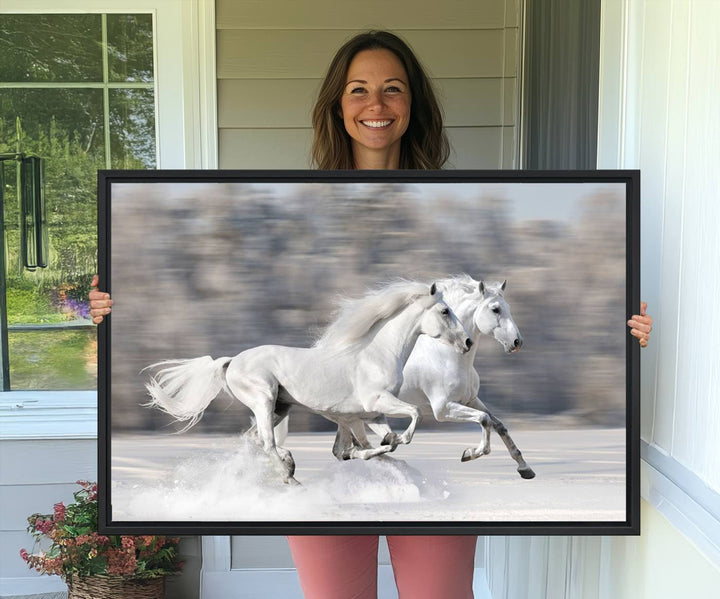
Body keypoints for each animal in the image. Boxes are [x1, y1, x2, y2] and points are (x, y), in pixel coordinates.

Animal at [146, 282, 472, 482]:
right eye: (445, 311)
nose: (468, 342)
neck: (377, 353)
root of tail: (231, 362)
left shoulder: (372, 414)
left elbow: (375, 444)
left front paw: (384, 447)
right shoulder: (377, 404)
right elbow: (412, 417)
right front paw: (396, 441)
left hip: (280, 407)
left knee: (255, 440)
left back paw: (289, 465)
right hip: (264, 400)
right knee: (266, 442)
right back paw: (290, 477)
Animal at [332, 278, 536, 482]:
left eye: (508, 307)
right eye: (495, 309)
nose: (517, 342)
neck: (447, 356)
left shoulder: (470, 400)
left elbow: (499, 425)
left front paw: (525, 468)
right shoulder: (443, 409)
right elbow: (484, 419)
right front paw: (469, 453)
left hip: (349, 417)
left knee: (342, 450)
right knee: (355, 448)